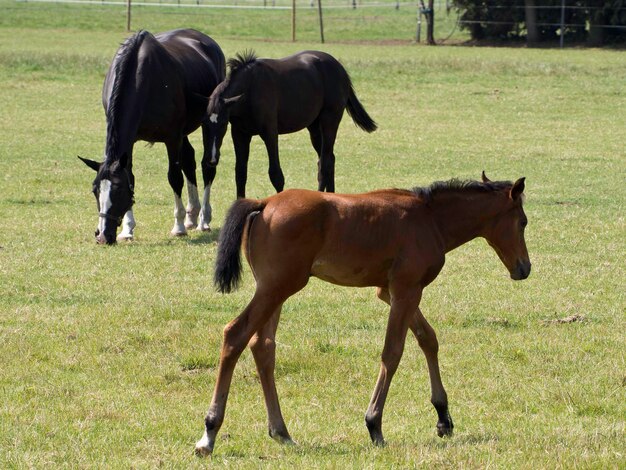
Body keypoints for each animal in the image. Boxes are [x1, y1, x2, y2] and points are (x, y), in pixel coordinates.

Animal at [78, 28, 224, 244]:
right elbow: (131, 175)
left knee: (208, 165)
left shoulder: (172, 138)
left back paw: (203, 219)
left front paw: (178, 226)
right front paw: (128, 230)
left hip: (209, 124)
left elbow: (174, 178)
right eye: (95, 190)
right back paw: (192, 215)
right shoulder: (130, 142)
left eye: (118, 190)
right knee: (189, 160)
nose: (103, 235)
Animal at [194, 173, 528, 456]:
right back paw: (209, 434)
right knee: (235, 334)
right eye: (523, 222)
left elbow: (428, 339)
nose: (524, 268)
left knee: (262, 347)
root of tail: (263, 203)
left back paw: (281, 432)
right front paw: (374, 424)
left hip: (275, 290)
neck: (430, 219)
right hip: (276, 288)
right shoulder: (406, 290)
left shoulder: (391, 291)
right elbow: (392, 352)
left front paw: (443, 417)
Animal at [204, 50, 376, 199]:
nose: (211, 159)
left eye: (223, 124)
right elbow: (240, 173)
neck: (250, 89)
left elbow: (275, 174)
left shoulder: (270, 133)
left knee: (324, 163)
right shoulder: (240, 134)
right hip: (314, 128)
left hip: (329, 122)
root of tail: (340, 68)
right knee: (328, 159)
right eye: (204, 125)